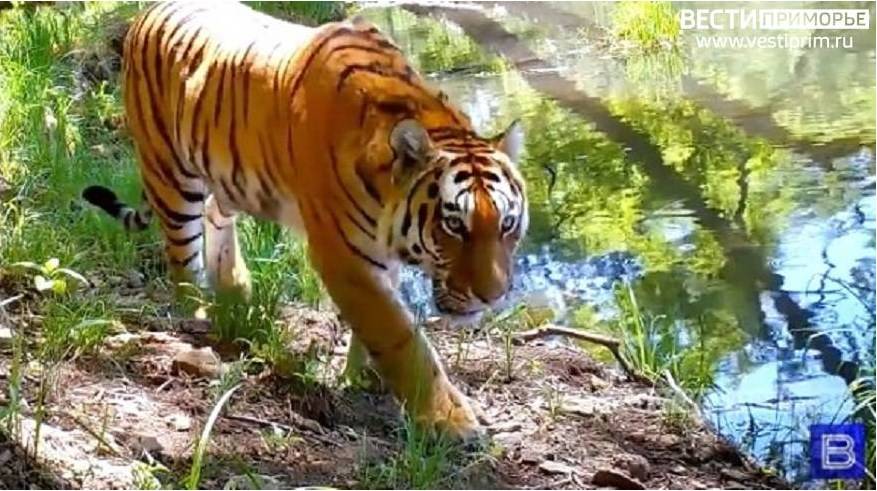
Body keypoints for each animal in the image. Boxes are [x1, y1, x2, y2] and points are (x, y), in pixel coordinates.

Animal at [82, 1, 528, 440]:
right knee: (182, 262)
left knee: (215, 212)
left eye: (506, 224)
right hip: (170, 175)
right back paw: (199, 313)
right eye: (454, 225)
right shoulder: (344, 257)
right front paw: (450, 420)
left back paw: (235, 288)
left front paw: (362, 377)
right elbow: (401, 337)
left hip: (228, 175)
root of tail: (146, 13)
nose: (494, 297)